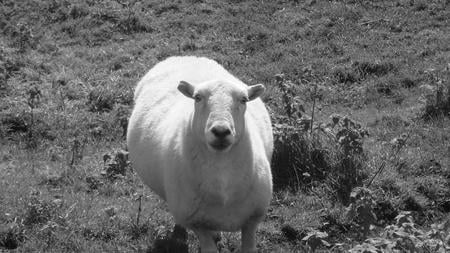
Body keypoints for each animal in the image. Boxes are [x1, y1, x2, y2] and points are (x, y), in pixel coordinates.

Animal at [127, 56, 274, 252]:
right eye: (197, 98)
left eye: (243, 100)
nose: (221, 131)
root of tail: (185, 57)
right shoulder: (196, 223)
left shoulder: (253, 219)